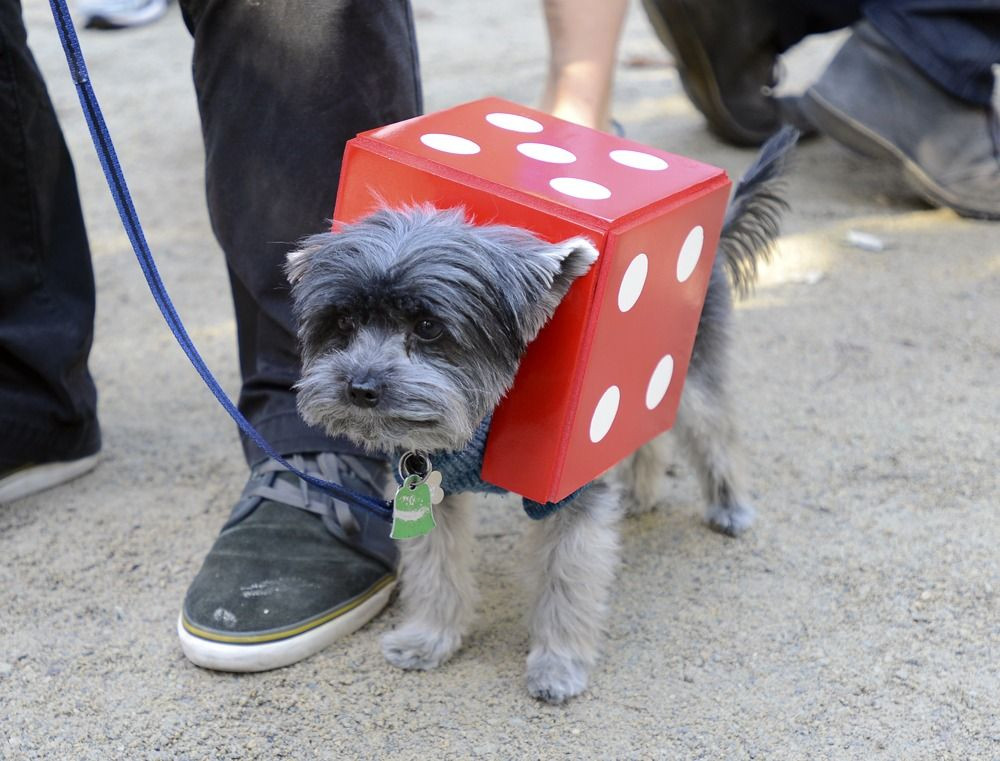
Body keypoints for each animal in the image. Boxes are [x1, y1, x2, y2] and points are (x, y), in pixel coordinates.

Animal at [288, 124, 796, 700]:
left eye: (428, 327)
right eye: (343, 321)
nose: (361, 387)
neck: (482, 423)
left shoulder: (567, 500)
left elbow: (565, 583)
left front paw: (558, 663)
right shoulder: (429, 490)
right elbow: (436, 568)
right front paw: (430, 637)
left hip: (690, 375)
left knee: (713, 433)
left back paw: (730, 507)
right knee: (647, 430)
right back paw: (640, 492)